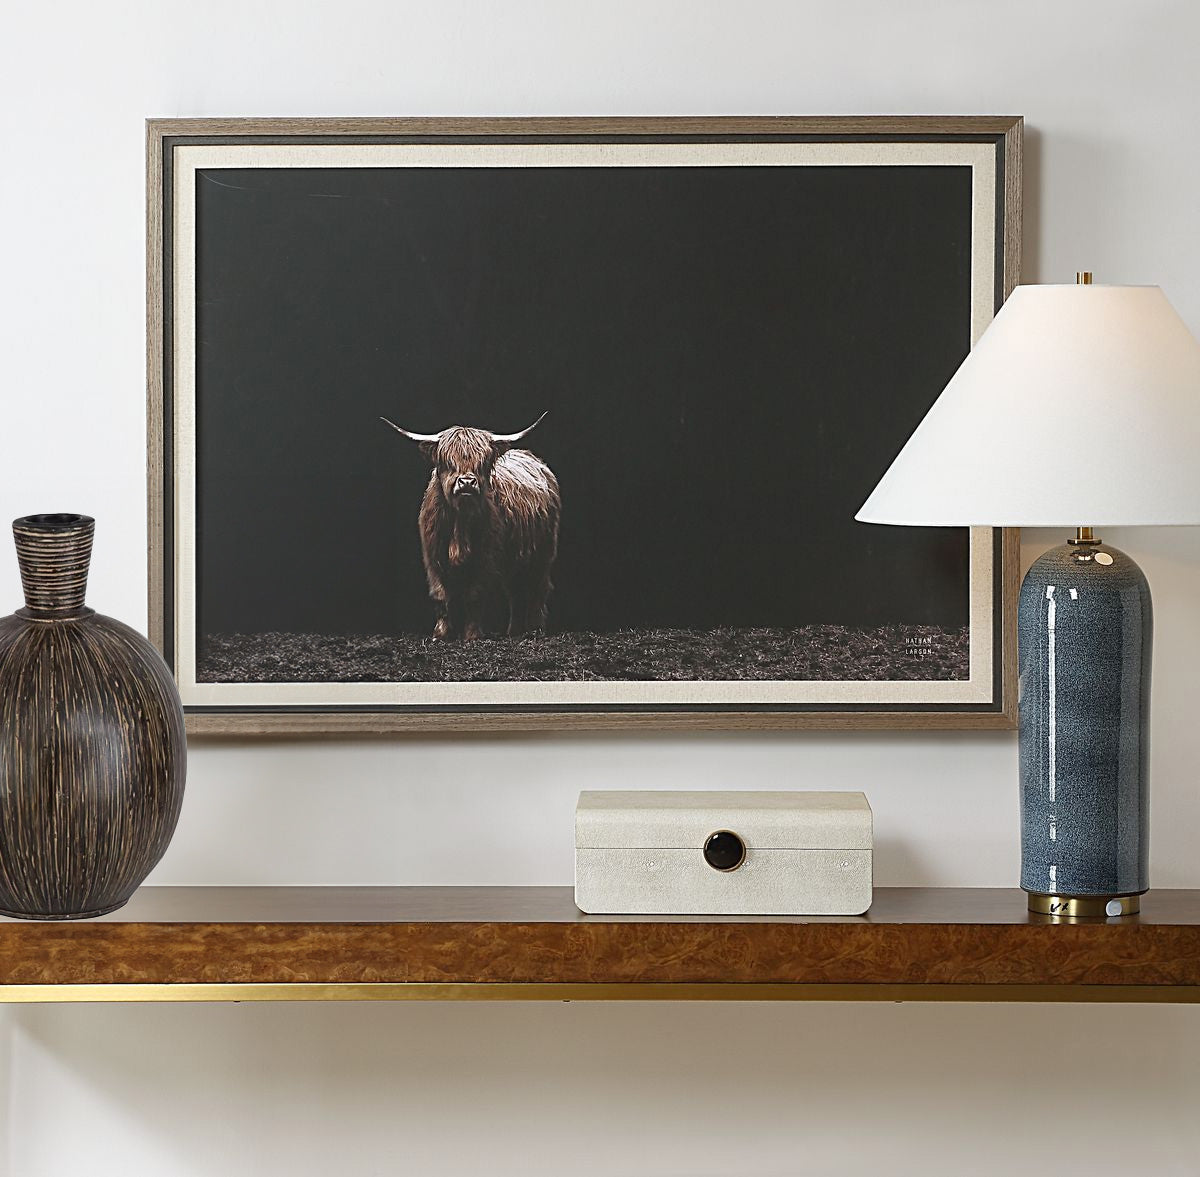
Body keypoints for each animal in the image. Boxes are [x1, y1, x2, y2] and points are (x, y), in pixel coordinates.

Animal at [381, 407, 559, 638]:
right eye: (448, 462)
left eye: (482, 463)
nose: (466, 482)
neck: (461, 520)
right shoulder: (433, 554)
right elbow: (440, 594)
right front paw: (441, 634)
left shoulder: (486, 557)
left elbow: (475, 595)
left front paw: (472, 635)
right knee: (515, 591)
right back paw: (513, 631)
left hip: (544, 552)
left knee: (538, 588)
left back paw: (535, 629)